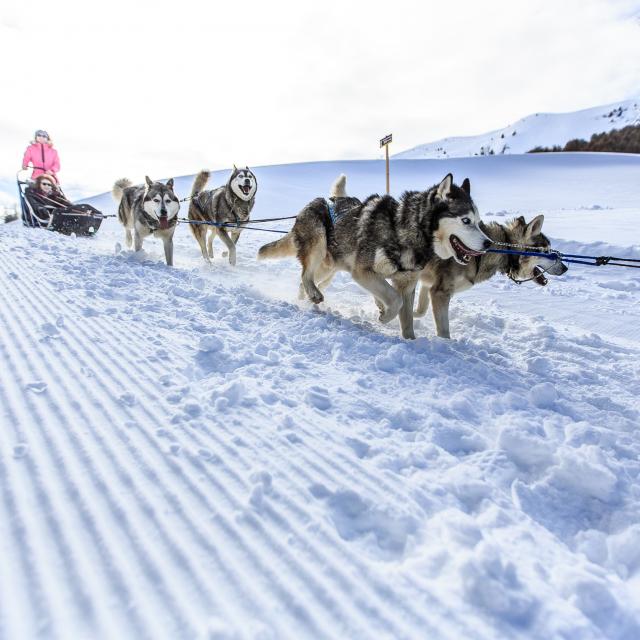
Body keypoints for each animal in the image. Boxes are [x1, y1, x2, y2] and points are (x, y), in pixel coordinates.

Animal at [258, 172, 492, 338]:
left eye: (478, 221)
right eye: (465, 221)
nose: (488, 243)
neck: (403, 229)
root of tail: (314, 203)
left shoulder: (407, 284)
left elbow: (406, 317)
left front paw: (410, 341)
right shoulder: (363, 273)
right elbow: (395, 300)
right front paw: (384, 316)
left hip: (328, 268)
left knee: (303, 281)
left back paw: (306, 301)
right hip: (318, 244)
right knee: (305, 275)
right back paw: (313, 296)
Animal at [416, 215, 568, 340]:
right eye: (547, 252)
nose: (565, 268)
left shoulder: (429, 284)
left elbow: (420, 311)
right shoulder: (440, 292)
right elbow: (443, 331)